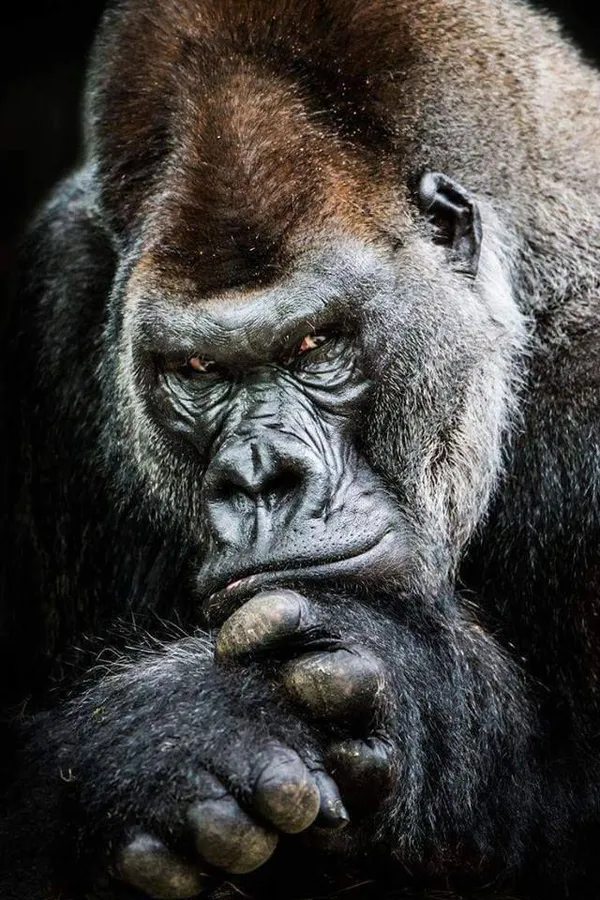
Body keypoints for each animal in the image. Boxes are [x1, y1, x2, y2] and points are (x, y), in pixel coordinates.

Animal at [0, 0, 599, 898]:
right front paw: (166, 743)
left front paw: (415, 691)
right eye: (197, 370)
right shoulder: (60, 295)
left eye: (318, 345)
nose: (260, 478)